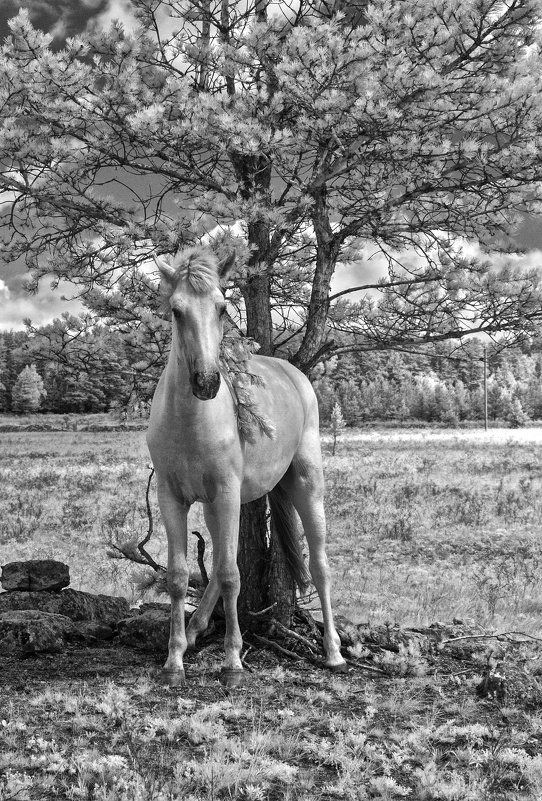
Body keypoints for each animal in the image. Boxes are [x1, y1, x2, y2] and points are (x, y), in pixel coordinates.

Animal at [147, 245, 346, 688]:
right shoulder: (173, 497)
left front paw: (233, 662)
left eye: (222, 308)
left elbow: (230, 575)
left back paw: (334, 651)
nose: (206, 382)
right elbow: (179, 575)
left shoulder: (225, 492)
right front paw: (174, 660)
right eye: (176, 310)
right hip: (218, 504)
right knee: (222, 561)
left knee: (320, 565)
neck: (191, 422)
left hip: (306, 484)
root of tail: (295, 374)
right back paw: (194, 630)